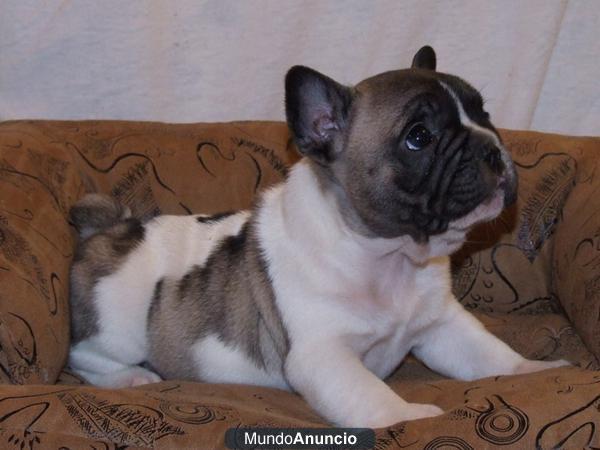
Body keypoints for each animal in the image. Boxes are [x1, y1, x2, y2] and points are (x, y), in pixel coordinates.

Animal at [69, 46, 568, 428]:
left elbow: (489, 354)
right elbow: (371, 396)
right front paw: (413, 416)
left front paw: (534, 370)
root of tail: (113, 227)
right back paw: (131, 379)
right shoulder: (324, 355)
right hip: (120, 326)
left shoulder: (441, 327)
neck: (390, 257)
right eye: (419, 137)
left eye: (484, 113)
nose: (492, 147)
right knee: (85, 357)